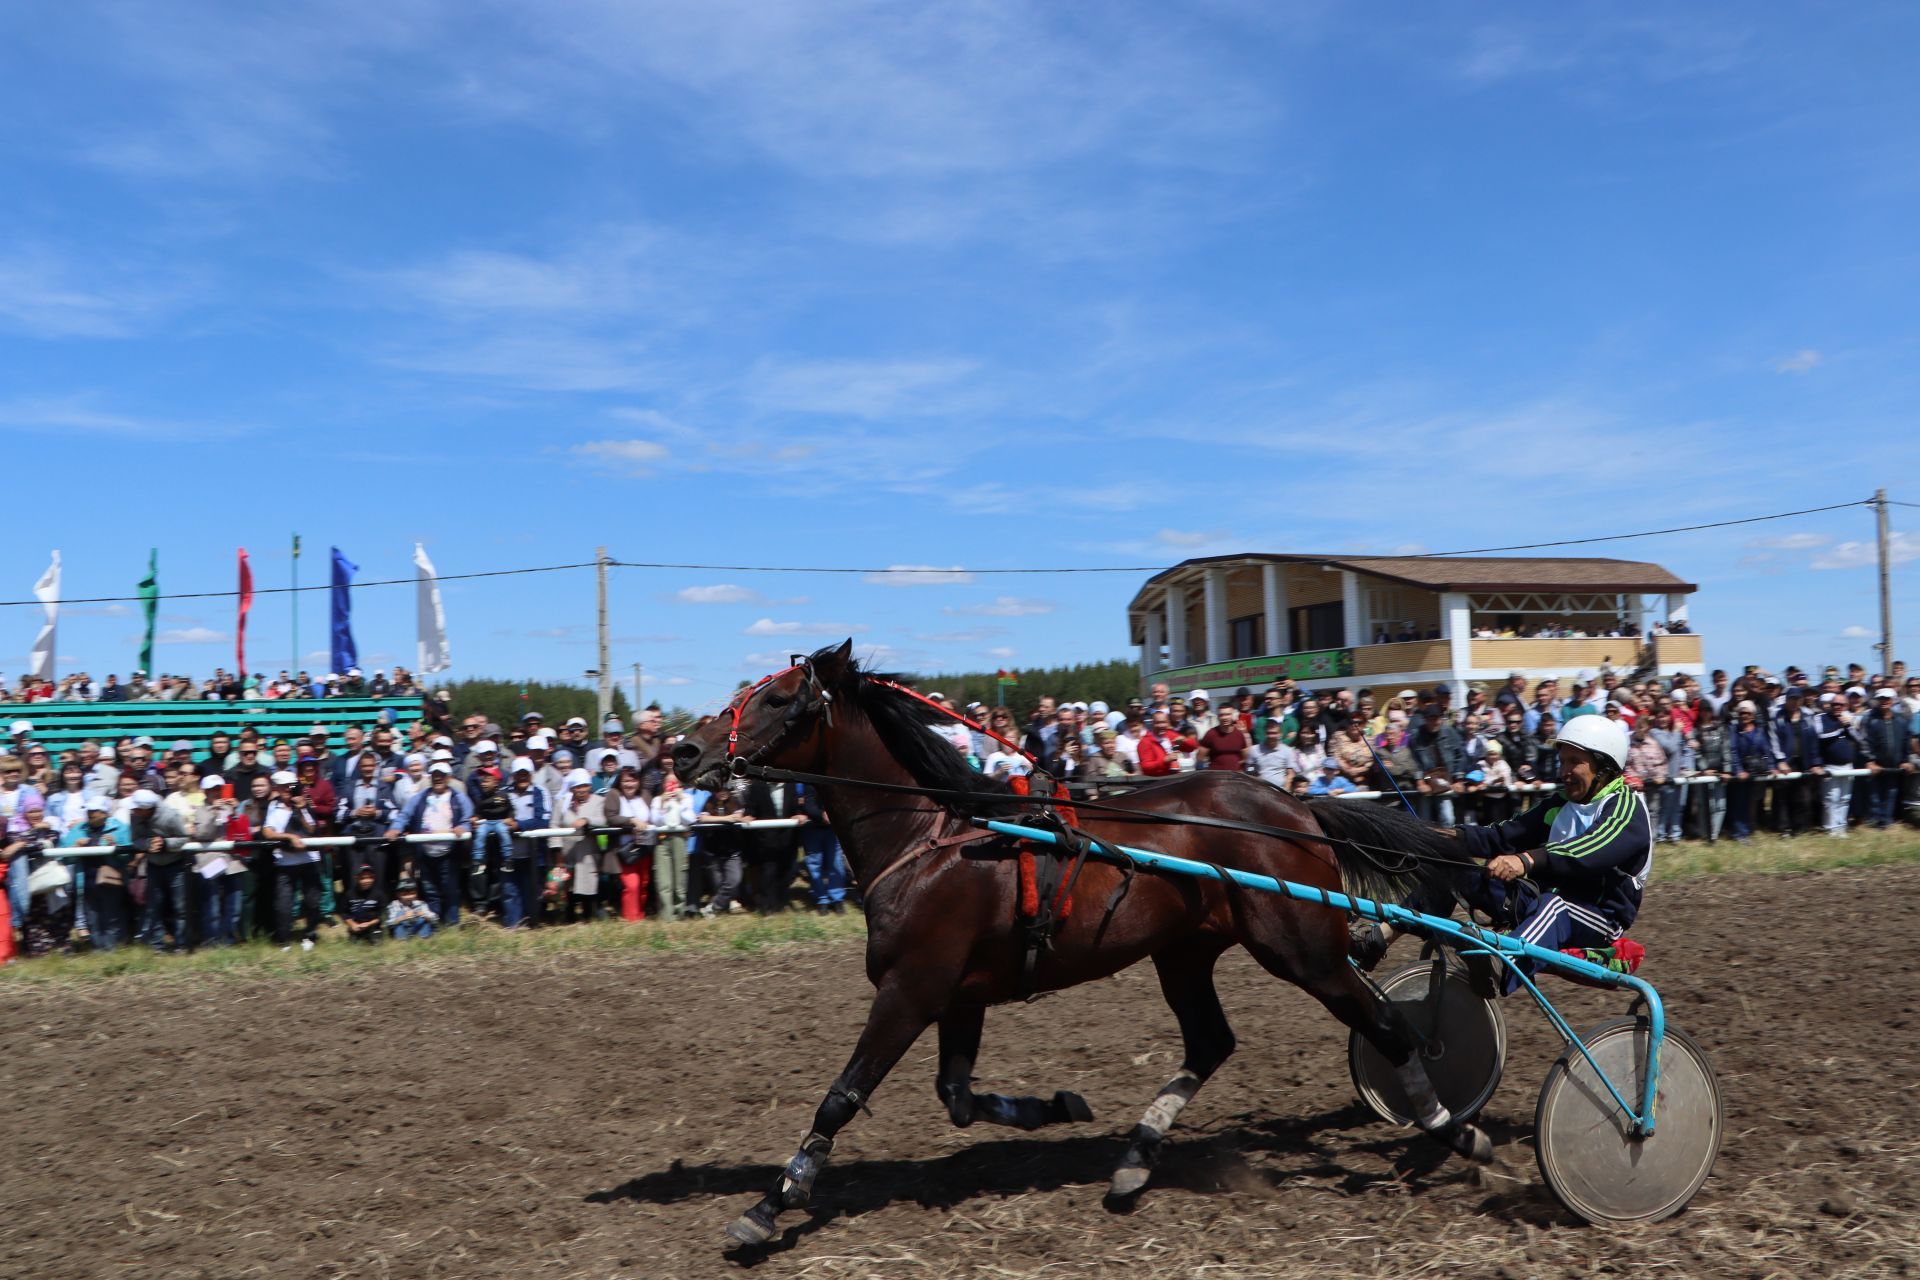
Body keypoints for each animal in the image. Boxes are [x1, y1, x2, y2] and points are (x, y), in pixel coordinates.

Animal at [675, 644, 1497, 1243]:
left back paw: (1453, 1130)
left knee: (1386, 1026)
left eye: (778, 697)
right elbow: (959, 1097)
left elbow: (842, 1097)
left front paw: (769, 1206)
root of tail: (1294, 808)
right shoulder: (957, 995)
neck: (934, 839)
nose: (685, 752)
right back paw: (1134, 1160)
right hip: (1184, 954)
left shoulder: (911, 989)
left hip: (1304, 953)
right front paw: (1057, 1108)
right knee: (1210, 1042)